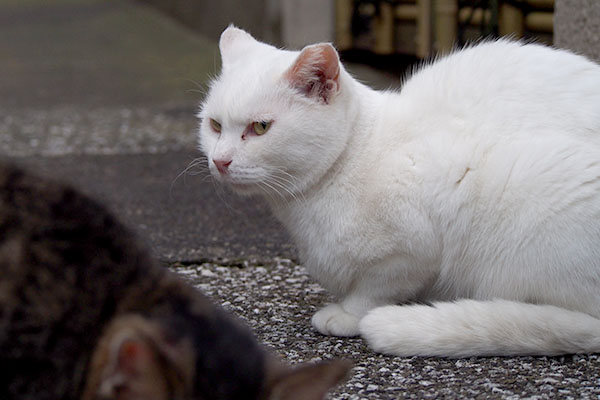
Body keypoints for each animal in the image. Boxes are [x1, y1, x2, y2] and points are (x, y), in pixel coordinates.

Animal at [198, 26, 600, 358]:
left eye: (260, 127)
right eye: (215, 125)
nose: (220, 160)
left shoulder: (411, 251)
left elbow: (375, 290)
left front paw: (348, 315)